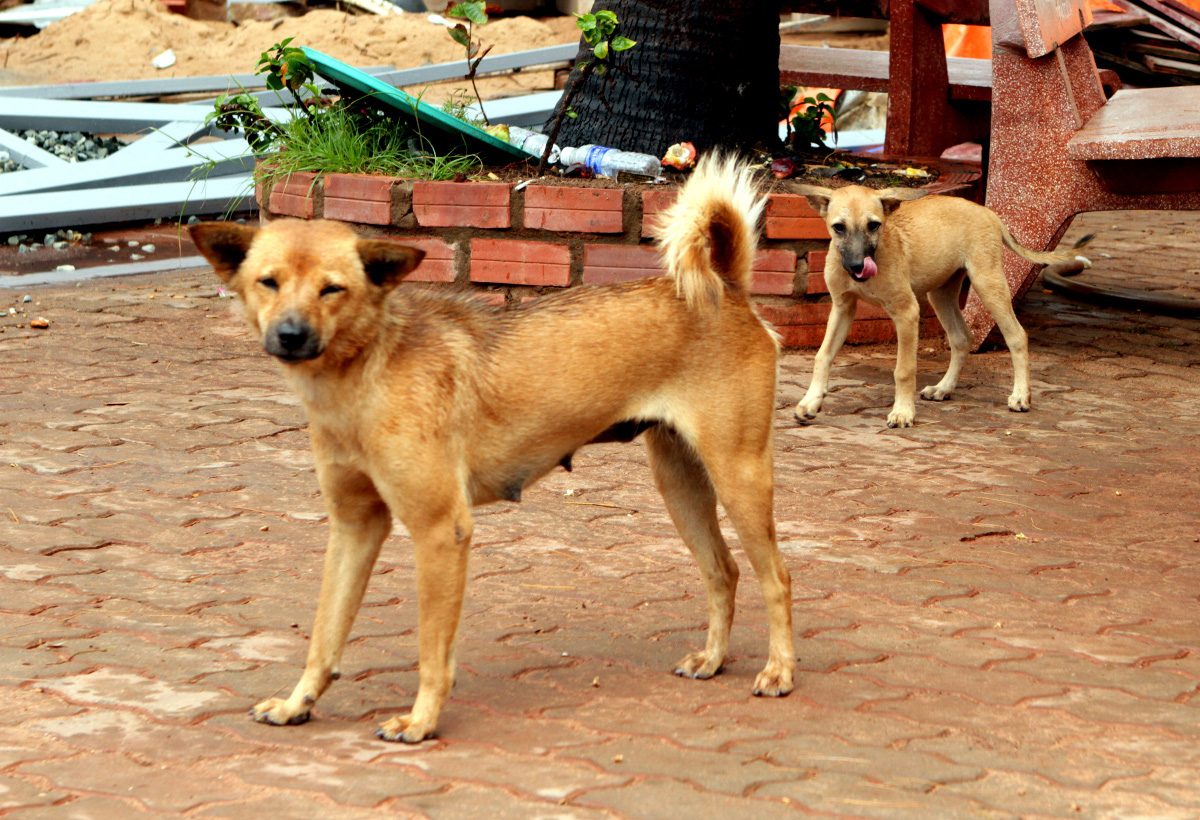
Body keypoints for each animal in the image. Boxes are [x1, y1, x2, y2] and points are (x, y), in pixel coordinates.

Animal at [189, 152, 796, 744]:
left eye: (332, 288)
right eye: (268, 282)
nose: (290, 335)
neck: (366, 370)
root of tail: (728, 288)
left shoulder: (441, 531)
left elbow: (432, 651)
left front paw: (421, 721)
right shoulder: (353, 527)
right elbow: (324, 633)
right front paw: (299, 704)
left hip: (738, 477)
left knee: (777, 578)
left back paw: (780, 671)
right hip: (680, 484)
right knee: (723, 571)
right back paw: (714, 660)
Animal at [792, 186, 1094, 429]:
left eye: (874, 225)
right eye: (838, 227)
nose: (857, 267)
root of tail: (988, 212)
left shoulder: (907, 313)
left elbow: (904, 370)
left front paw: (903, 413)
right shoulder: (842, 308)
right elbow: (822, 356)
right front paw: (811, 402)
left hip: (988, 284)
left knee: (1017, 336)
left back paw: (1020, 395)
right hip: (941, 293)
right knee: (962, 338)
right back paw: (943, 388)